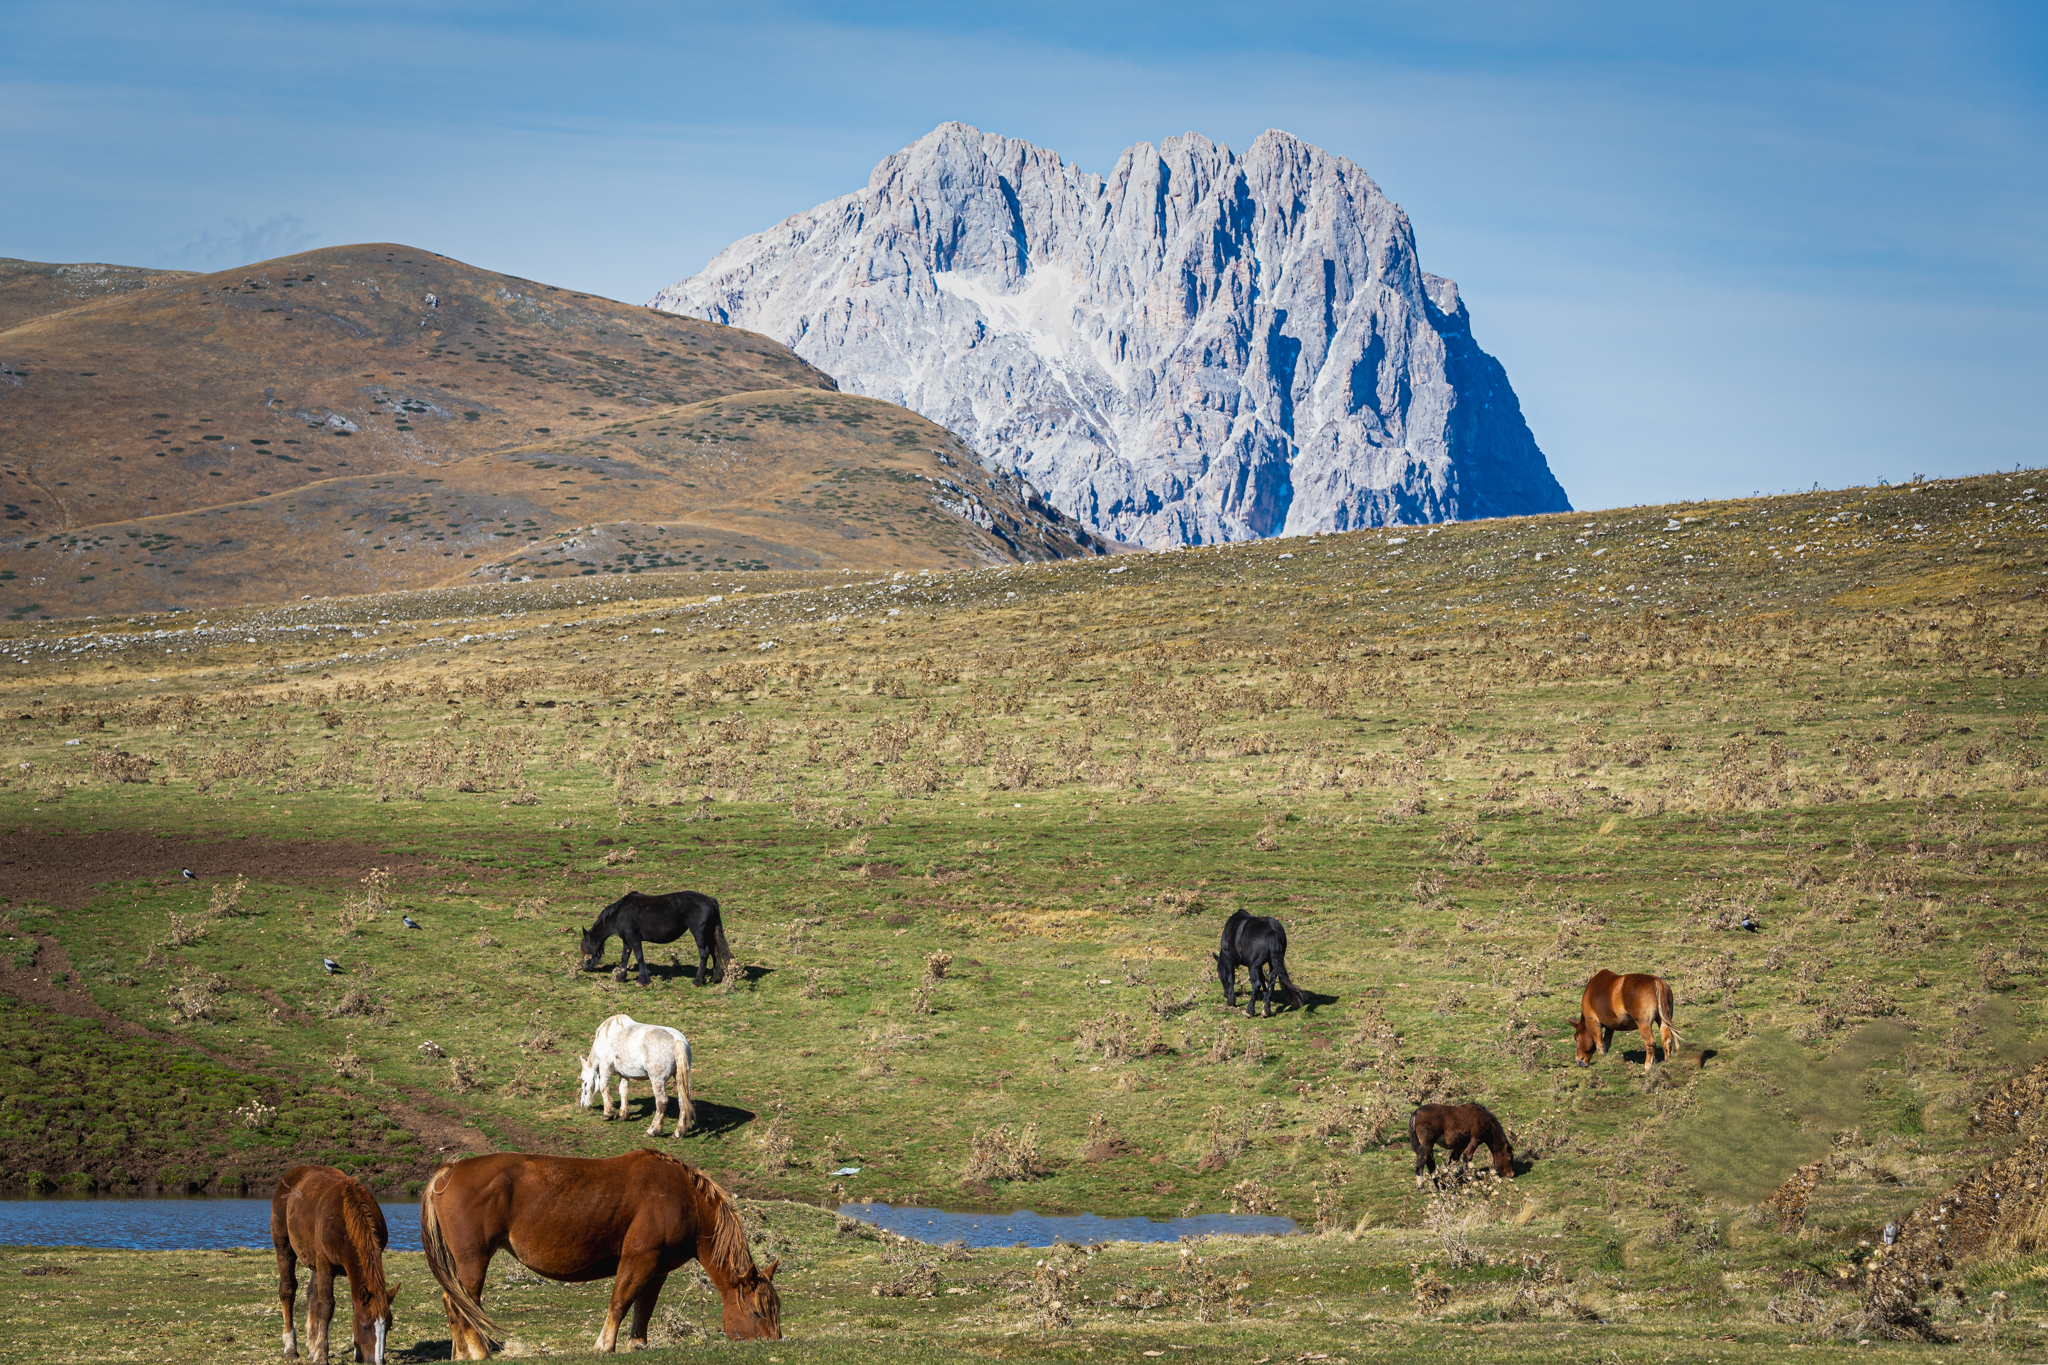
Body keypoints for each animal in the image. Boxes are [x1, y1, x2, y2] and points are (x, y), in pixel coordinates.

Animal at [271, 1164, 401, 1365]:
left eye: (388, 1325)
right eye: (365, 1326)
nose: (377, 1362)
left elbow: (351, 1304)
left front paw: (355, 1352)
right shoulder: (325, 1264)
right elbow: (326, 1306)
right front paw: (321, 1355)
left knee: (311, 1293)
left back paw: (311, 1347)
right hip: (284, 1248)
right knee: (287, 1290)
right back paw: (290, 1347)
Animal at [419, 1149, 780, 1357]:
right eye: (757, 1312)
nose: (774, 1341)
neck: (684, 1197)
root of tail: (449, 1170)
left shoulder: (658, 1269)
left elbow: (644, 1308)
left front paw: (638, 1344)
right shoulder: (639, 1258)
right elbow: (620, 1301)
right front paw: (604, 1345)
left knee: (452, 1303)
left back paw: (461, 1354)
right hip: (473, 1260)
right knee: (464, 1305)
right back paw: (479, 1353)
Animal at [579, 889, 732, 987]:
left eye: (584, 951)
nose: (584, 967)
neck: (619, 914)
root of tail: (711, 900)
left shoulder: (634, 939)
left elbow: (639, 957)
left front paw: (642, 981)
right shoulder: (626, 941)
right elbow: (624, 957)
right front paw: (620, 977)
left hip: (699, 933)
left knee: (704, 953)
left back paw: (697, 981)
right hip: (709, 933)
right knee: (714, 952)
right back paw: (715, 977)